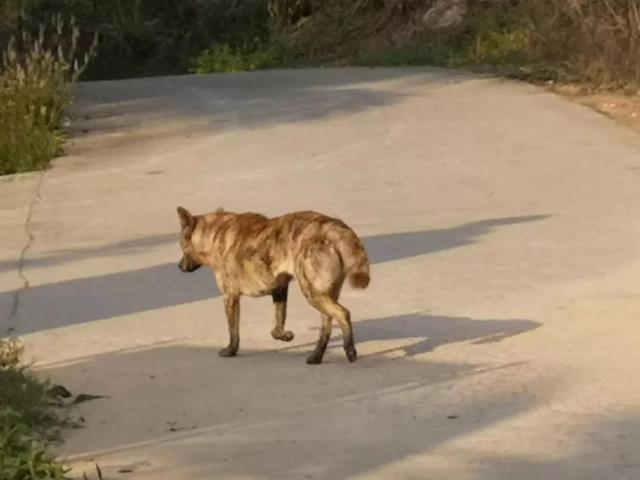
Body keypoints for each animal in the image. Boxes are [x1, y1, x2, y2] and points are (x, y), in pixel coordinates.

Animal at [178, 206, 372, 364]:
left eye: (181, 245)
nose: (179, 266)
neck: (216, 233)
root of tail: (333, 227)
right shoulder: (279, 289)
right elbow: (277, 324)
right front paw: (285, 336)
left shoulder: (230, 297)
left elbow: (233, 330)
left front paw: (231, 350)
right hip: (324, 293)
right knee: (327, 324)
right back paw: (316, 356)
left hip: (311, 292)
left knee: (343, 313)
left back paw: (350, 350)